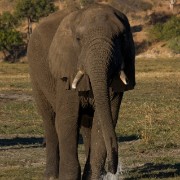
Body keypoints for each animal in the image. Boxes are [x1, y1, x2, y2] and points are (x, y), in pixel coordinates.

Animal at [27, 2, 135, 180]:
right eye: (78, 40)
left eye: (121, 37)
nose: (113, 169)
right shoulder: (66, 70)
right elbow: (67, 119)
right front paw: (67, 177)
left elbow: (103, 120)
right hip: (35, 74)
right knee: (49, 120)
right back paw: (51, 176)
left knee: (87, 123)